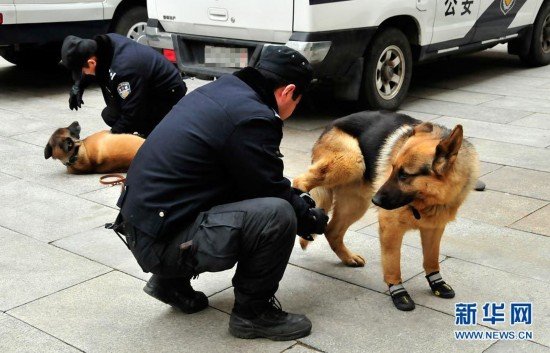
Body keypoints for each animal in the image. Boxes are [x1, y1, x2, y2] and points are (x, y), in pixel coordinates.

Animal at [296, 110, 480, 310]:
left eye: (404, 175)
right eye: (392, 169)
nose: (375, 200)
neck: (426, 200)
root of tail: (332, 124)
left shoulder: (433, 229)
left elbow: (431, 259)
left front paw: (437, 283)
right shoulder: (391, 228)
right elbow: (393, 263)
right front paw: (399, 293)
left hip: (355, 204)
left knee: (332, 231)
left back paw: (347, 257)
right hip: (351, 162)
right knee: (300, 180)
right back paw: (304, 205)